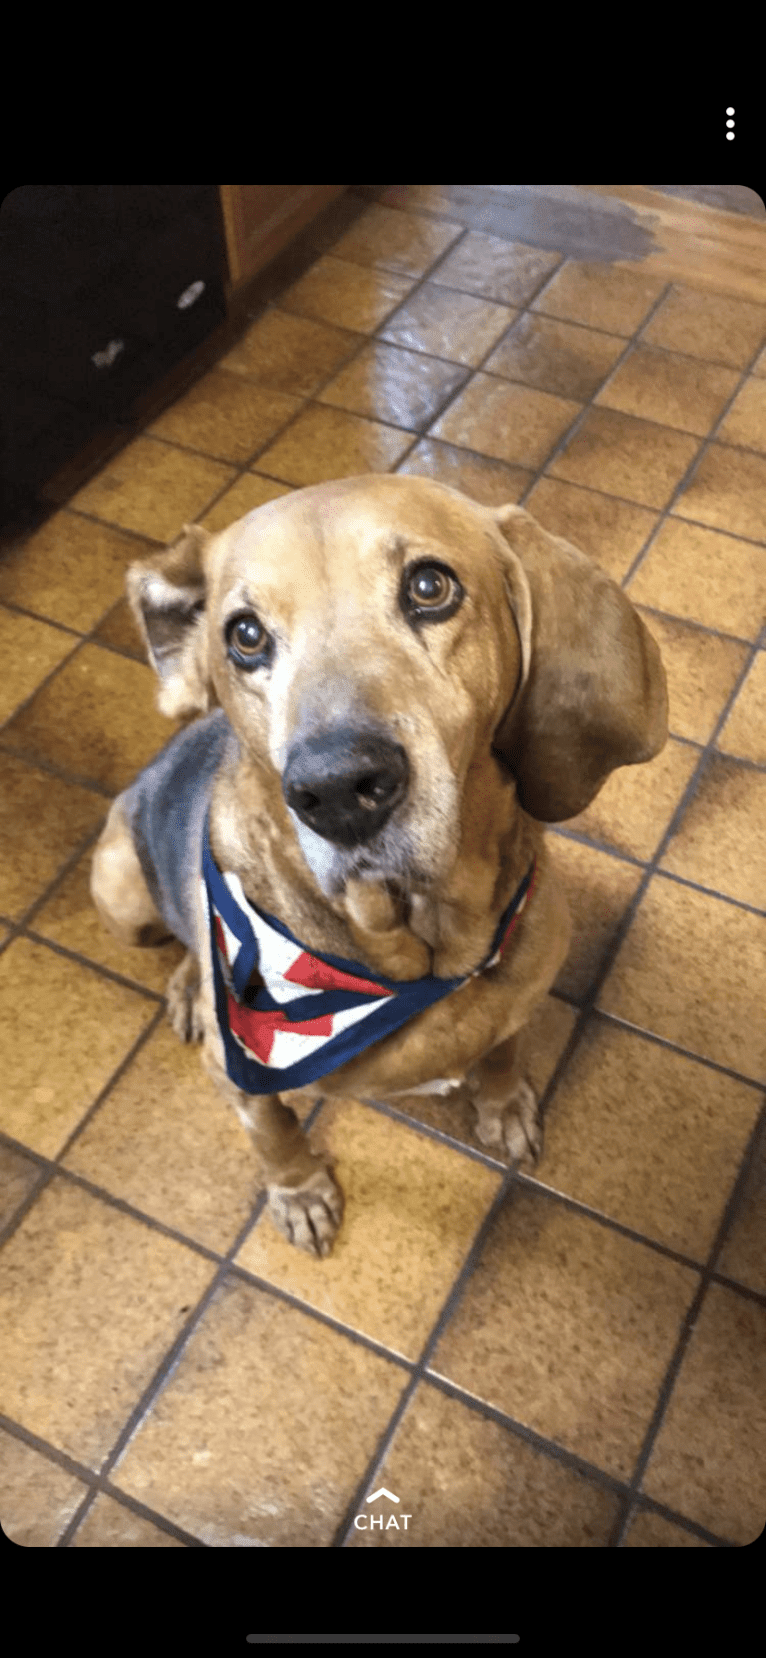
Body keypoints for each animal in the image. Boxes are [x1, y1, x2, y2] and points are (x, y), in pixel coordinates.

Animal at [89, 477, 666, 1253]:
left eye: (429, 586)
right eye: (245, 635)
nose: (337, 790)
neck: (423, 957)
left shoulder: (517, 999)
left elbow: (504, 1051)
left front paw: (503, 1103)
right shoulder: (243, 1077)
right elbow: (275, 1138)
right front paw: (301, 1192)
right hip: (120, 886)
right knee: (179, 934)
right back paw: (186, 985)